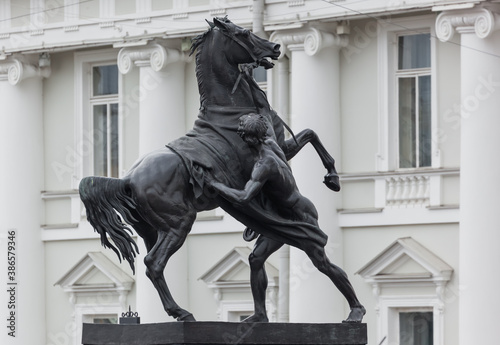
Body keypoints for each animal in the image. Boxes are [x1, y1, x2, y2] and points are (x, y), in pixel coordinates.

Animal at [79, 17, 344, 322]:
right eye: (244, 33)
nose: (276, 47)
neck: (230, 110)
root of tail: (127, 180)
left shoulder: (280, 148)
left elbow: (310, 133)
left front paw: (333, 177)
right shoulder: (272, 154)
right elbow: (310, 135)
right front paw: (332, 176)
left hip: (149, 230)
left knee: (153, 265)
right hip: (178, 223)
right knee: (153, 263)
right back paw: (182, 313)